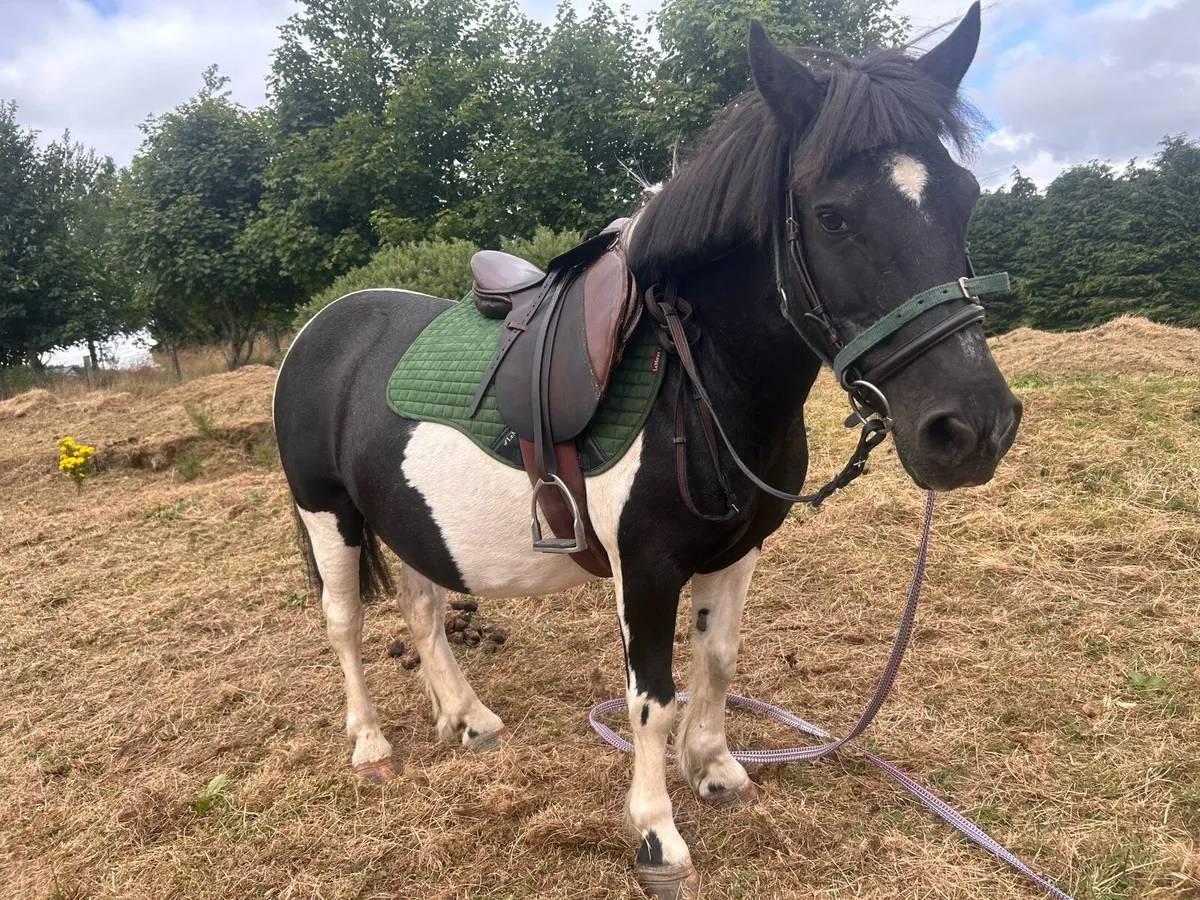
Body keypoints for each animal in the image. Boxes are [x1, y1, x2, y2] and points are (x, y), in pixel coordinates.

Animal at [272, 4, 1022, 895]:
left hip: (405, 511)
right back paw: (370, 744)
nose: (972, 428)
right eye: (833, 215)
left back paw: (466, 717)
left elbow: (719, 661)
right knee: (344, 621)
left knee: (423, 607)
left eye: (964, 198)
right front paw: (658, 834)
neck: (695, 374)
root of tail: (322, 324)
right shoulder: (648, 565)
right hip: (329, 514)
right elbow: (651, 699)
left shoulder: (737, 551)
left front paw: (717, 769)